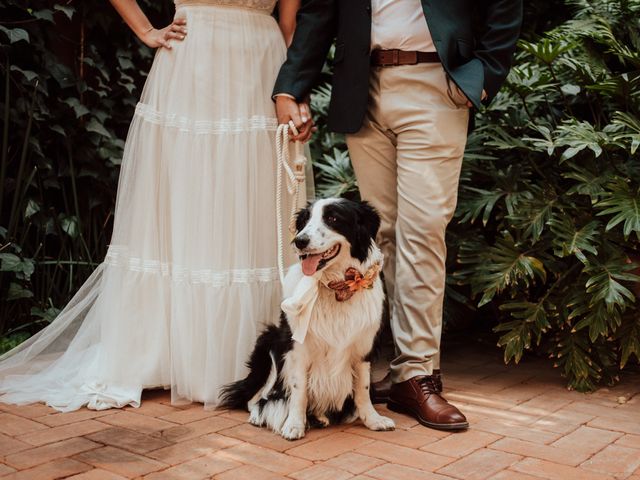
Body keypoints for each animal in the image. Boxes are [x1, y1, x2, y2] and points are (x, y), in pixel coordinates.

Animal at [221, 197, 396, 440]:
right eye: (305, 221)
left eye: (332, 218)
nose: (299, 241)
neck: (336, 288)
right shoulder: (296, 349)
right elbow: (299, 390)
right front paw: (294, 425)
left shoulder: (364, 347)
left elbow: (363, 389)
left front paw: (373, 420)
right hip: (268, 343)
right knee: (256, 397)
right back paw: (258, 416)